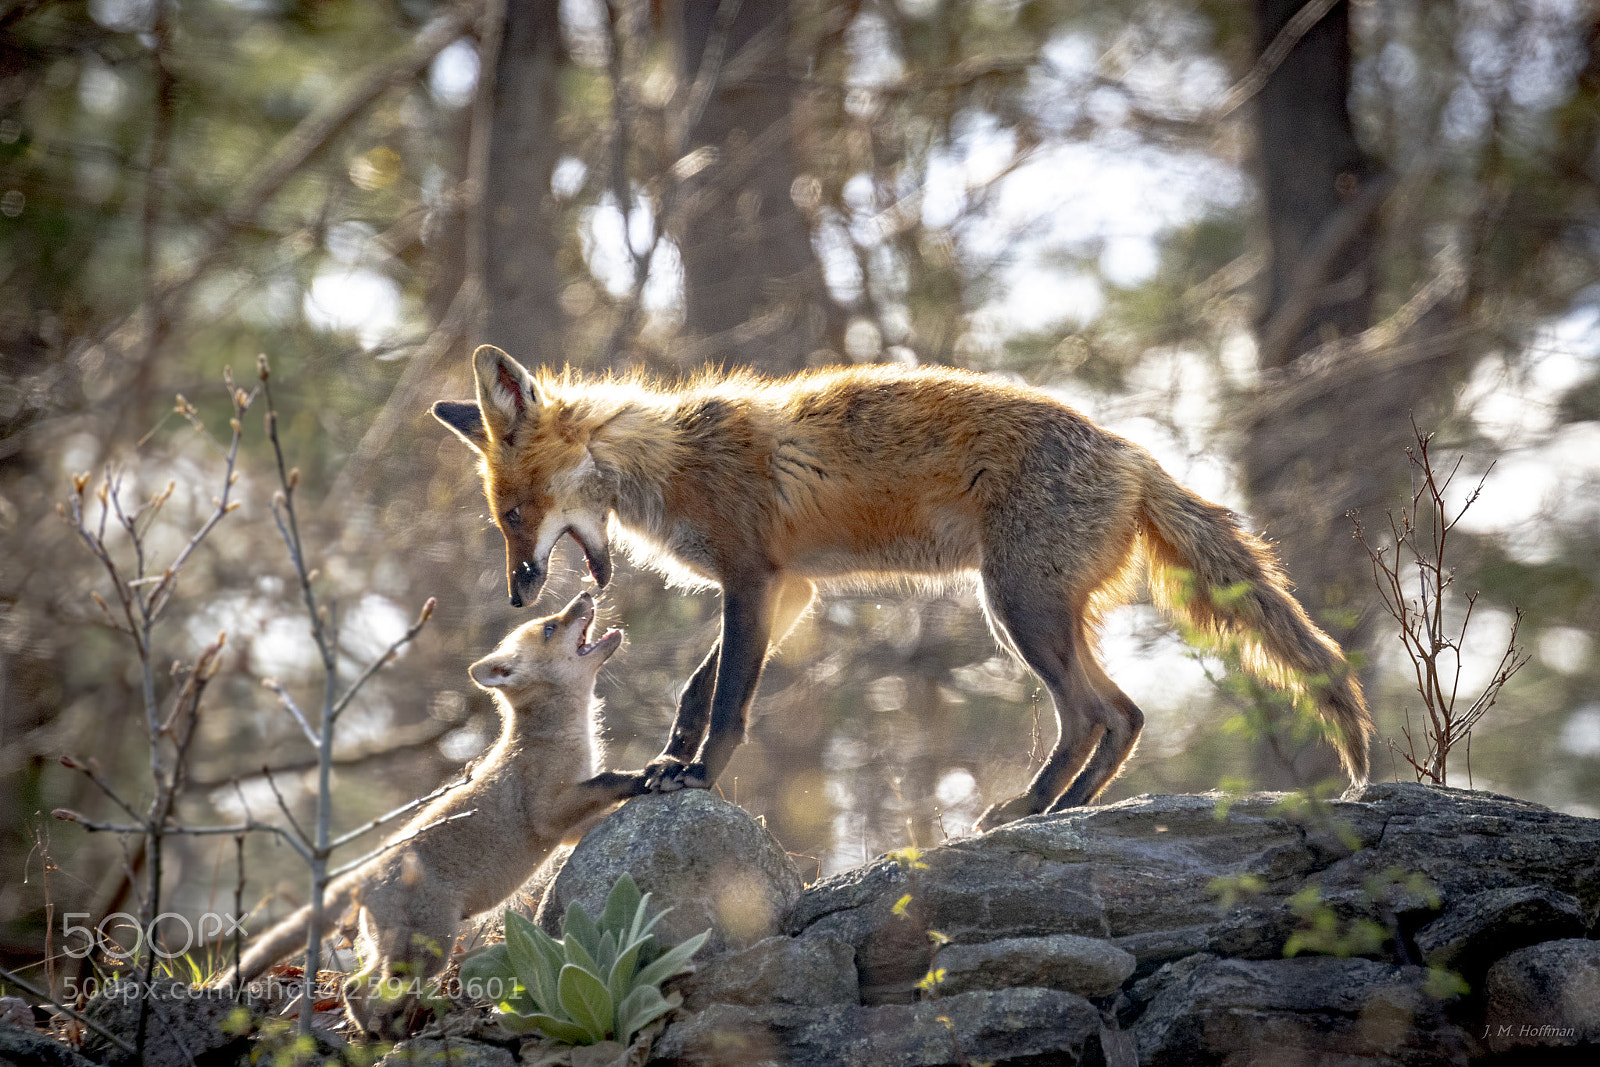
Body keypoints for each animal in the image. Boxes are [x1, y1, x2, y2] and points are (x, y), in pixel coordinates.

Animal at [220, 592, 636, 1032]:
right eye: (550, 628)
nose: (585, 594)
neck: (554, 737)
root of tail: (365, 873)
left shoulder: (568, 829)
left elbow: (596, 808)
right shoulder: (547, 813)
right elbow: (604, 782)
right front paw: (645, 776)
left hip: (398, 946)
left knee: (357, 983)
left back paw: (377, 1029)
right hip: (430, 948)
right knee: (368, 985)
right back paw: (383, 1031)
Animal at [432, 345, 1372, 831]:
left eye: (515, 512)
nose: (518, 593)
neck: (668, 458)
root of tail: (1132, 453)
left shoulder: (752, 577)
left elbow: (730, 698)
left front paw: (698, 774)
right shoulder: (791, 592)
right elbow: (698, 689)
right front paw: (669, 759)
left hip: (1018, 610)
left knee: (1094, 713)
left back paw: (1034, 804)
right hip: (1035, 614)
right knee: (1125, 715)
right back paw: (1061, 807)